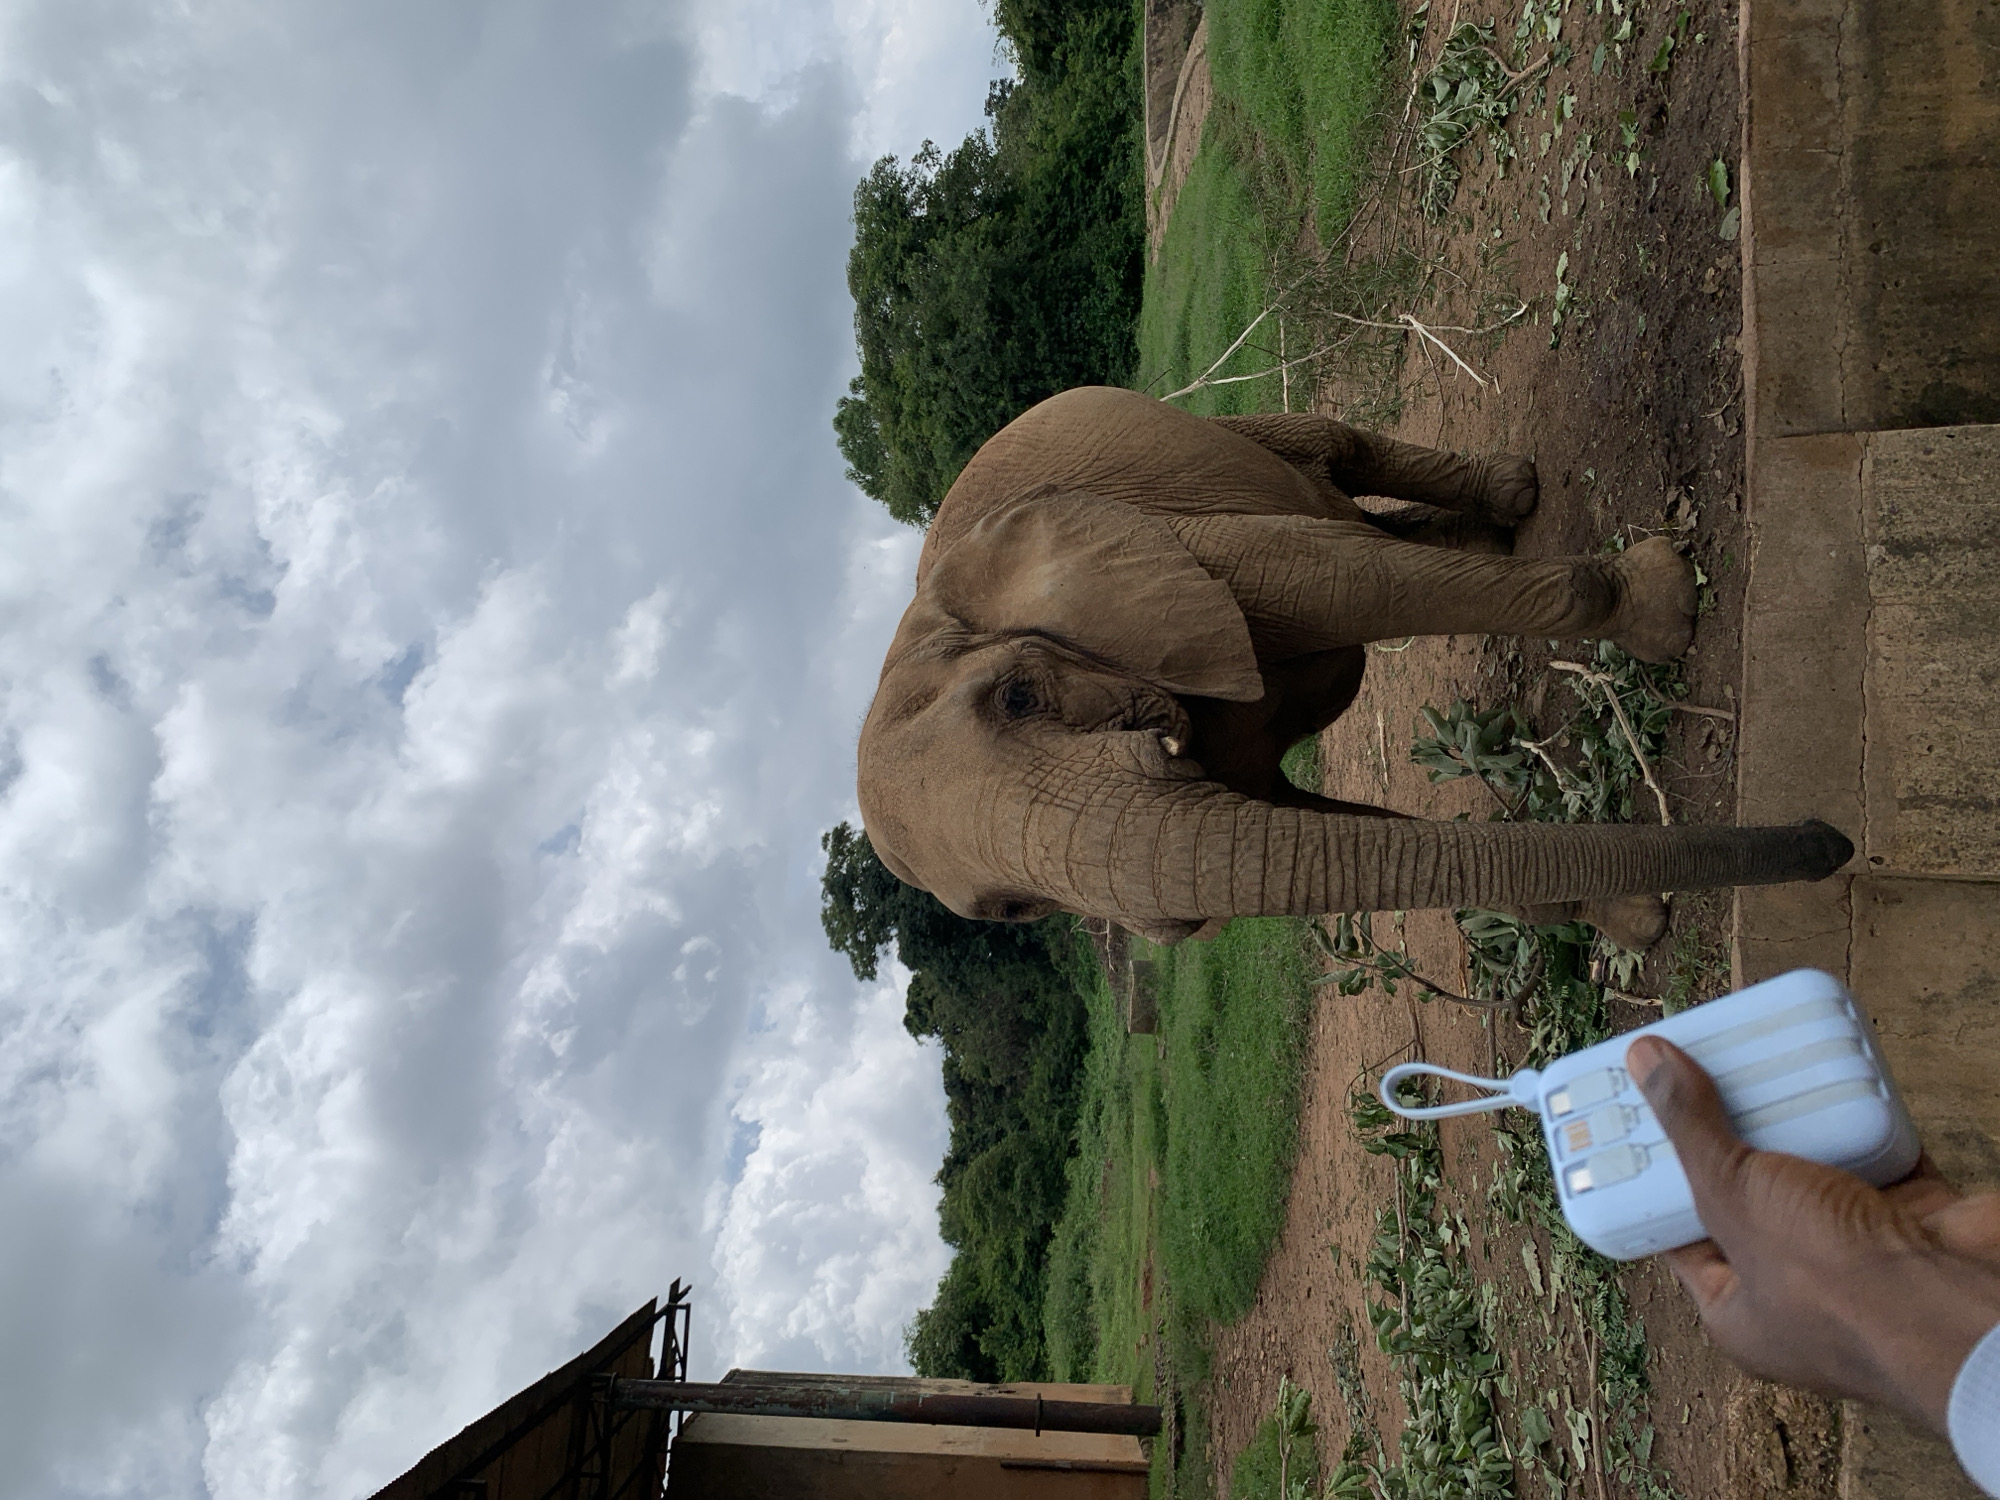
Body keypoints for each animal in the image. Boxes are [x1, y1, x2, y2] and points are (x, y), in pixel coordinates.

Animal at [856, 386, 1852, 949]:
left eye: (1020, 695)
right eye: (1012, 915)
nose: (1831, 843)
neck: (922, 620)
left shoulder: (1179, 549)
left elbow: (1339, 580)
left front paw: (1666, 610)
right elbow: (1316, 823)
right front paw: (1637, 924)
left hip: (1221, 426)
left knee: (1334, 455)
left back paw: (1516, 496)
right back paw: (1491, 534)